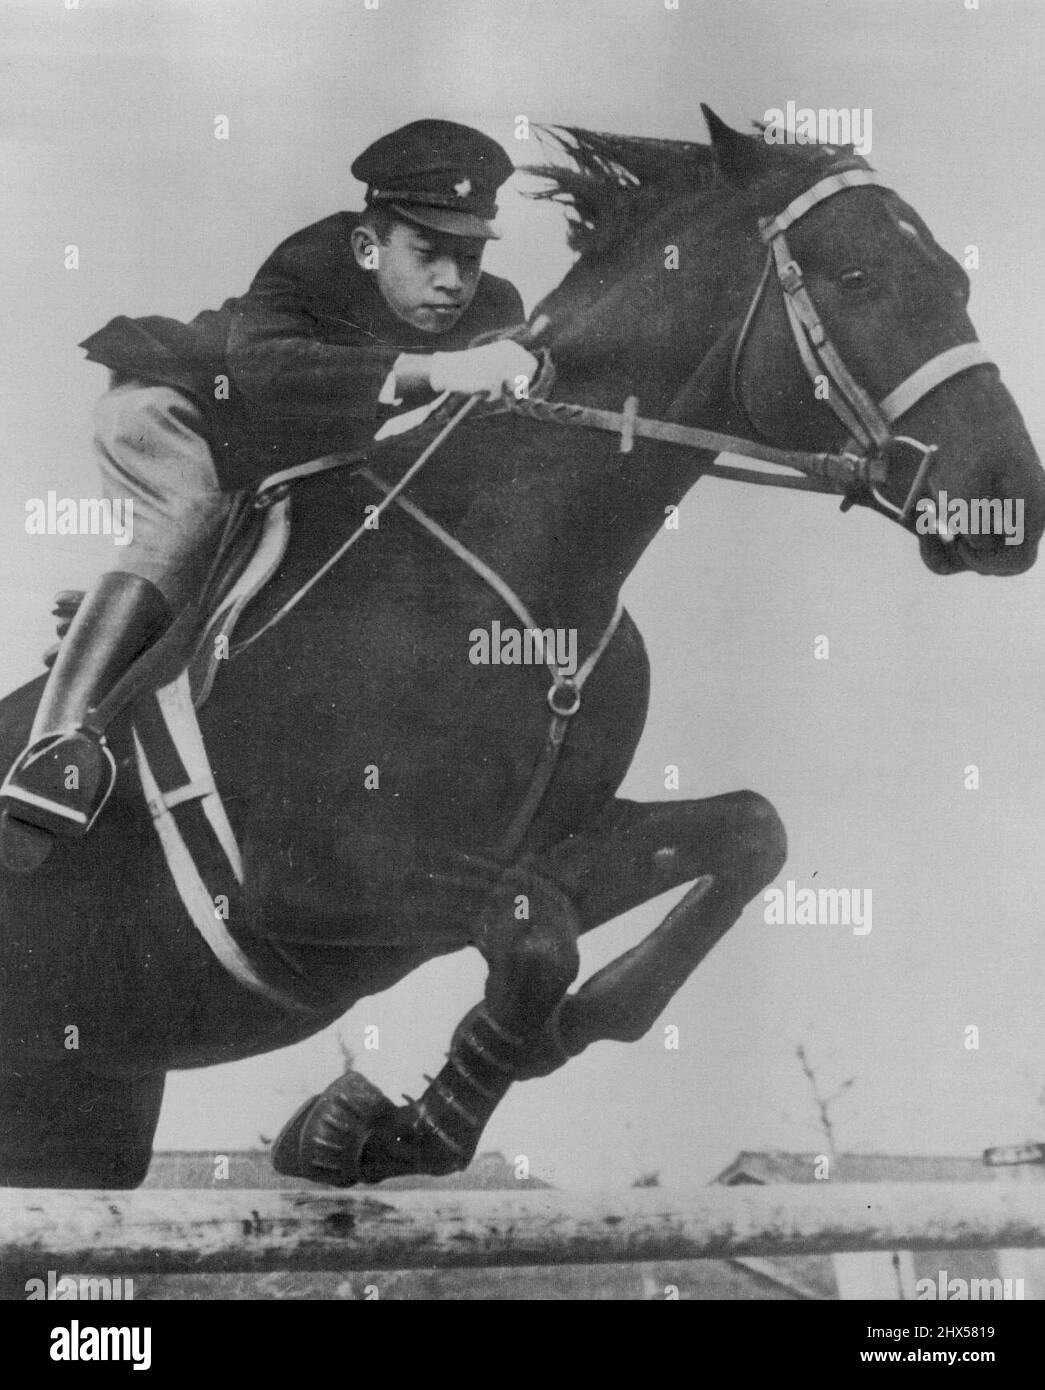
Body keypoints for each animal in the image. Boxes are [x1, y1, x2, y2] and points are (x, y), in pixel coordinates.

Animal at [2, 111, 1045, 1195]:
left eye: (956, 282)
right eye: (856, 276)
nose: (1009, 503)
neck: (529, 564)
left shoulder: (544, 841)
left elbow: (742, 834)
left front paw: (407, 1109)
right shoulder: (297, 878)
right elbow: (536, 931)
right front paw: (383, 1123)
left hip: (82, 1111)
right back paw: (55, 780)